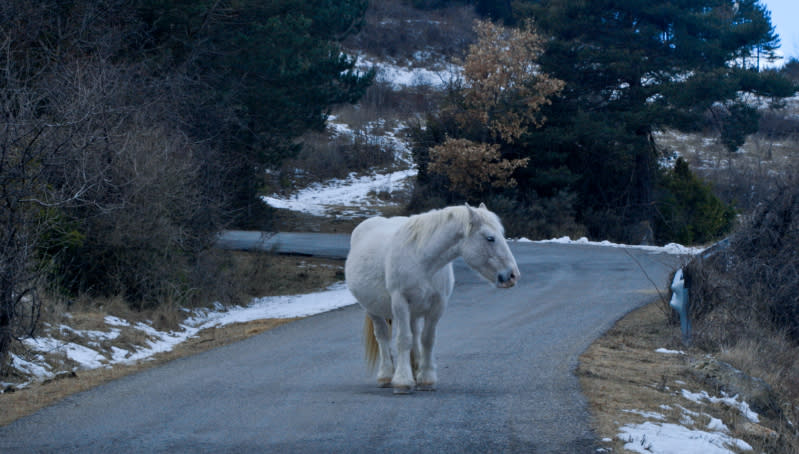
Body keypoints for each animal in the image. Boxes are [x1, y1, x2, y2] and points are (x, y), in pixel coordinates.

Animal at [346, 203, 520, 394]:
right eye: (490, 238)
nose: (512, 275)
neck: (421, 260)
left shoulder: (438, 305)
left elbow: (427, 339)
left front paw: (426, 378)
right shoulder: (400, 302)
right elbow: (403, 340)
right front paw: (402, 382)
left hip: (414, 312)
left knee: (415, 334)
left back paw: (415, 370)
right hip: (372, 310)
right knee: (383, 336)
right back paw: (386, 375)